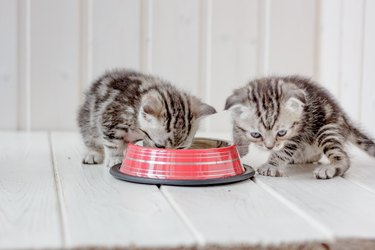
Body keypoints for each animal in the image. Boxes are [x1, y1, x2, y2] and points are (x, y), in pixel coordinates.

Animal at [78, 68, 216, 168]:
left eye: (181, 149)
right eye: (159, 146)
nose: (169, 159)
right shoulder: (111, 117)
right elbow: (113, 143)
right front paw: (115, 158)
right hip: (87, 119)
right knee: (91, 137)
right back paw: (93, 153)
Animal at [226, 75, 375, 179]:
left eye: (281, 133)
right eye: (256, 134)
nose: (269, 147)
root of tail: (343, 118)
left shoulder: (298, 131)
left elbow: (283, 151)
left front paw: (271, 165)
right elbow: (237, 127)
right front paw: (239, 148)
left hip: (326, 129)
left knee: (341, 156)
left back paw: (331, 168)